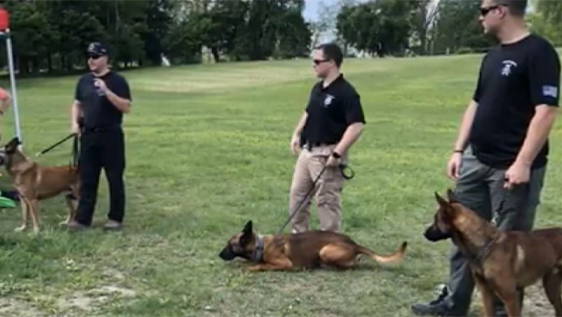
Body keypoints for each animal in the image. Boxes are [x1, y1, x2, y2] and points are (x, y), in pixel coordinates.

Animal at [217, 221, 404, 270]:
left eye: (229, 245)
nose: (219, 255)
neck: (260, 245)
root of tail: (354, 244)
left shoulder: (284, 263)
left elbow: (263, 265)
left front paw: (252, 266)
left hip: (326, 251)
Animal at [422, 189, 560, 314]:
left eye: (436, 220)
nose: (424, 234)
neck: (486, 247)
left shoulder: (510, 297)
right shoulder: (486, 293)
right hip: (551, 286)